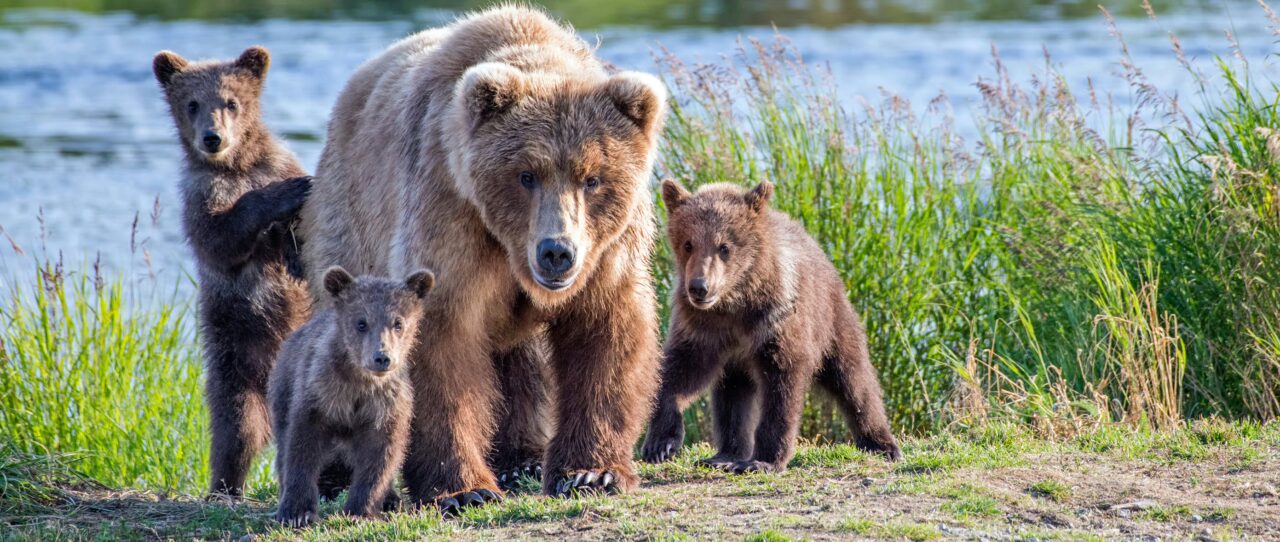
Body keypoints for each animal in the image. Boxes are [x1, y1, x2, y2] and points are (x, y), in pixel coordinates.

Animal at [153, 46, 314, 498]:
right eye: (192, 103)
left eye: (231, 102)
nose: (213, 138)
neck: (236, 166)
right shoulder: (201, 197)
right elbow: (221, 238)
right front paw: (279, 197)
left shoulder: (277, 163)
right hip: (232, 350)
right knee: (236, 426)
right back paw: (225, 485)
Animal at [270, 266, 435, 527]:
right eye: (361, 322)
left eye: (398, 322)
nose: (382, 357)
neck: (360, 382)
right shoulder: (319, 394)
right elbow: (301, 447)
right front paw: (297, 512)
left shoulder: (385, 406)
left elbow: (380, 457)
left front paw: (362, 510)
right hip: (284, 388)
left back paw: (391, 499)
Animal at [298, 6, 666, 509]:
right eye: (526, 174)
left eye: (592, 178)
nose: (557, 252)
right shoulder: (451, 216)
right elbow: (440, 344)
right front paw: (463, 490)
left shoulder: (607, 252)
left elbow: (605, 336)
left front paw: (591, 472)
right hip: (349, 221)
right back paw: (335, 474)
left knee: (522, 360)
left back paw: (522, 458)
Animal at [640, 179, 901, 473]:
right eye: (688, 244)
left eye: (724, 246)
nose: (699, 287)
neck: (737, 302)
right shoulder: (703, 327)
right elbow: (681, 371)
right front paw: (660, 444)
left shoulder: (775, 322)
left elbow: (782, 387)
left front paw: (763, 460)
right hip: (736, 362)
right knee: (733, 396)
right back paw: (724, 455)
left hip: (830, 317)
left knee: (853, 378)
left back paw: (882, 443)